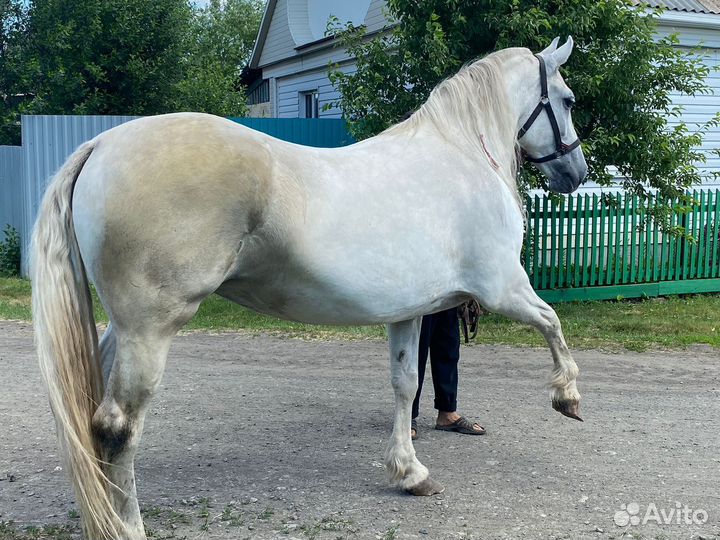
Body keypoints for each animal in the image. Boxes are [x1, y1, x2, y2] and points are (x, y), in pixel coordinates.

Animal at [31, 38, 587, 539]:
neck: (462, 153)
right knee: (117, 427)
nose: (576, 174)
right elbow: (553, 324)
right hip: (149, 332)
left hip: (122, 330)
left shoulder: (409, 312)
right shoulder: (503, 287)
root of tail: (102, 144)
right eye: (567, 100)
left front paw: (410, 473)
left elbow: (405, 384)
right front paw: (567, 396)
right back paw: (126, 525)